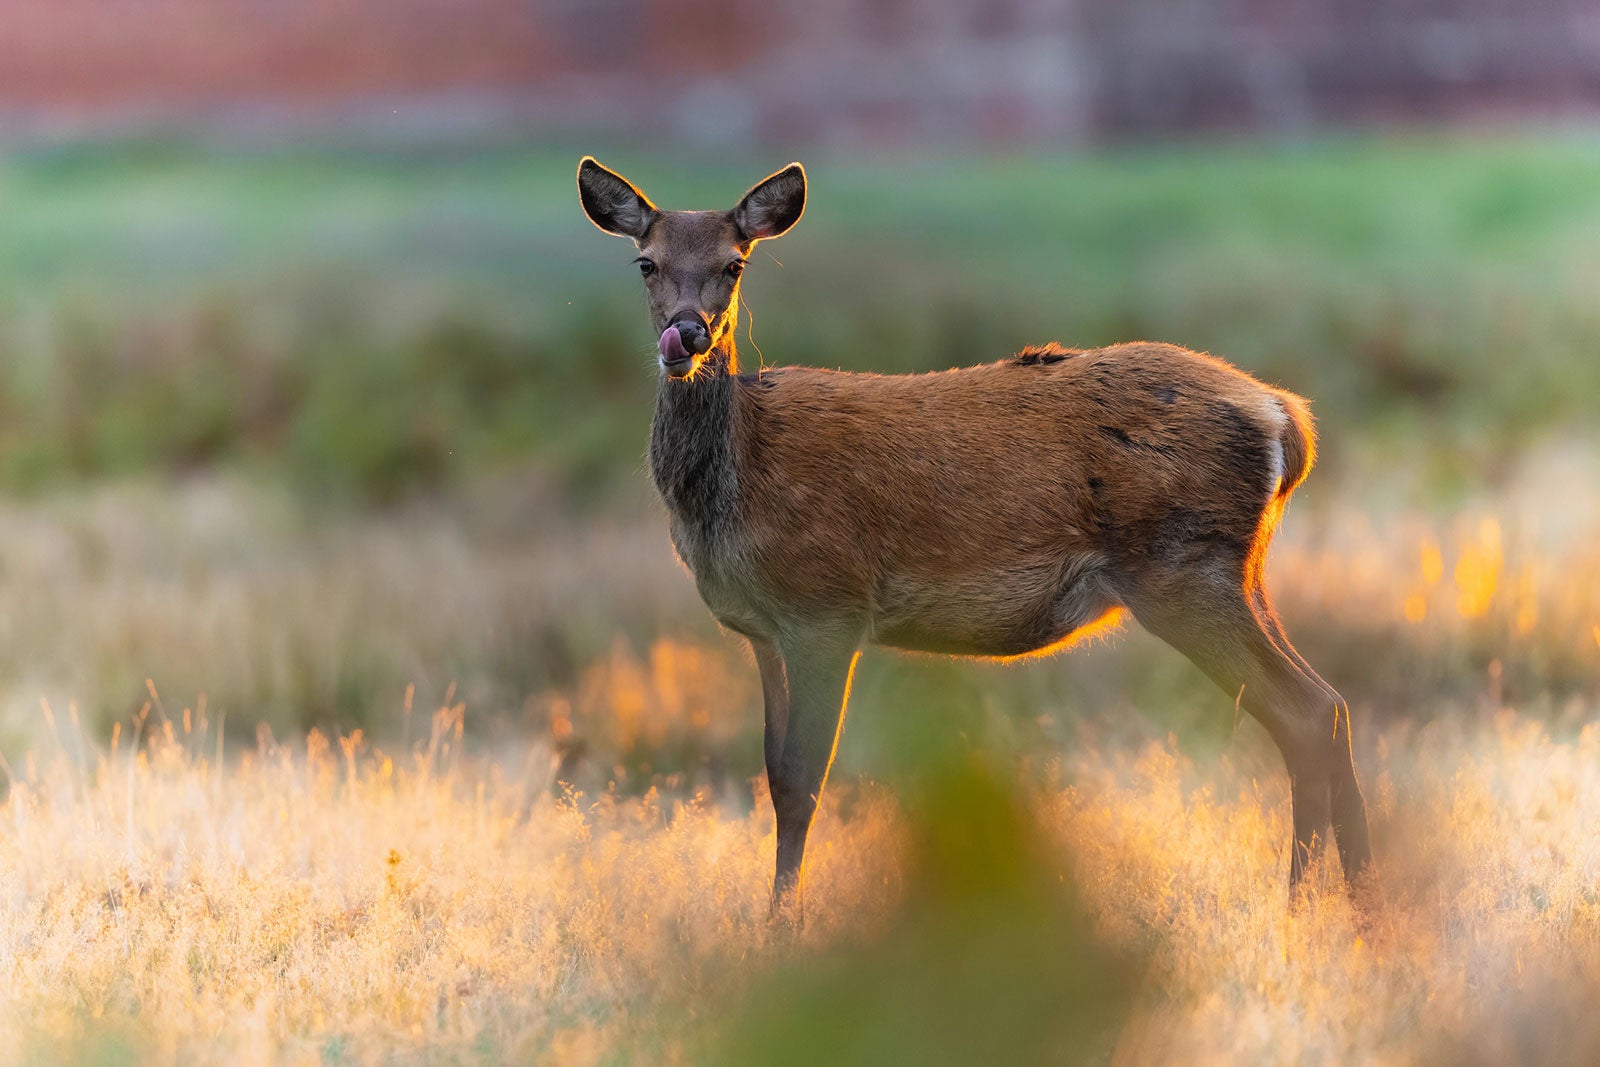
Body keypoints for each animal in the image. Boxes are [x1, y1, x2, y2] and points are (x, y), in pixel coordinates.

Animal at [576, 156, 1376, 921]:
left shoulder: (826, 607)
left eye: (734, 263)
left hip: (1184, 568)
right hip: (1242, 573)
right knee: (1328, 708)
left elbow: (805, 778)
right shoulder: (761, 631)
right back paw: (1360, 907)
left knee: (1305, 713)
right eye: (646, 262)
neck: (737, 483)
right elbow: (773, 775)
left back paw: (1306, 908)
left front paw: (781, 925)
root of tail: (1285, 418)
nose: (685, 335)